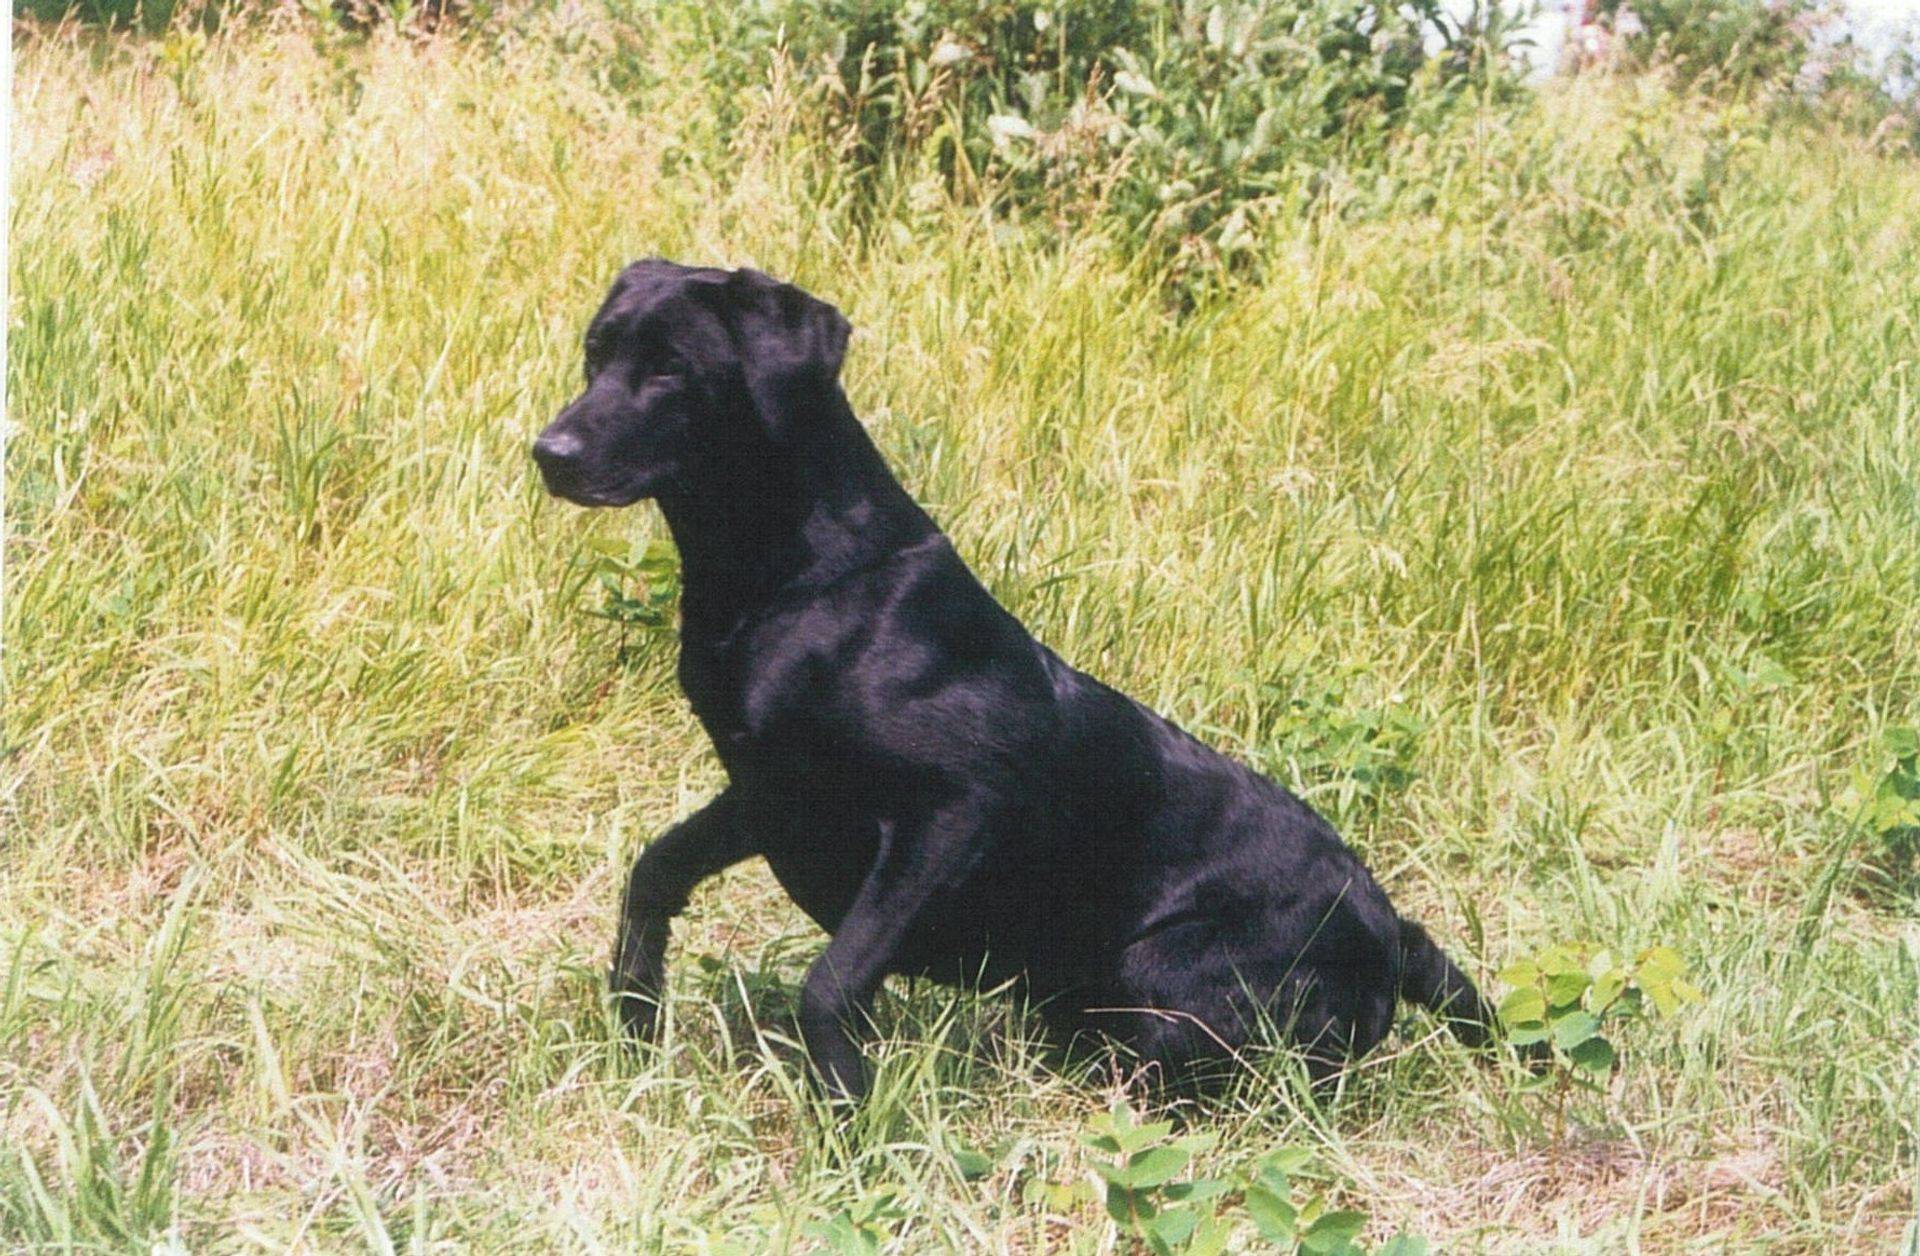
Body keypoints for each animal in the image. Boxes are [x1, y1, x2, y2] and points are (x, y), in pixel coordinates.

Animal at [529, 259, 1497, 1106]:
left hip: (1166, 970)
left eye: (672, 370)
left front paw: (850, 1120)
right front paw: (635, 1020)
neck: (797, 577)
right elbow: (655, 871)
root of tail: (1391, 926)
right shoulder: (769, 788)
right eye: (596, 352)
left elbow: (830, 983)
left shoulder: (951, 812)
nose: (549, 451)